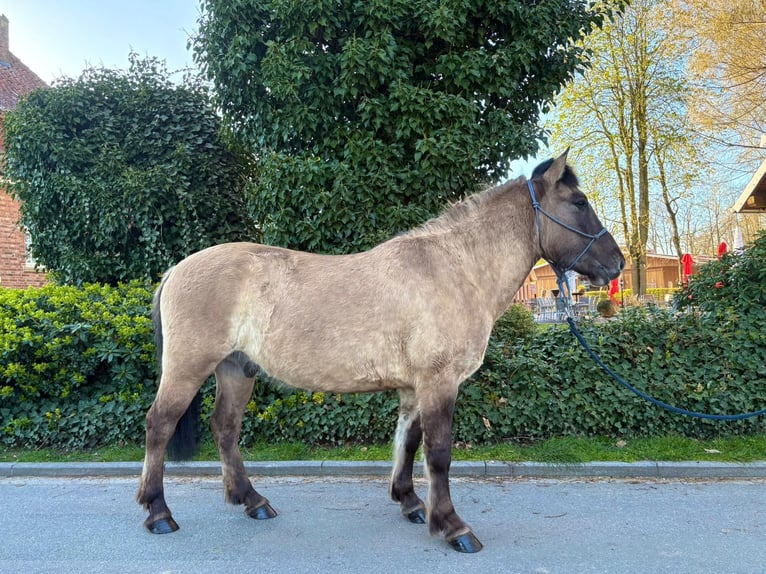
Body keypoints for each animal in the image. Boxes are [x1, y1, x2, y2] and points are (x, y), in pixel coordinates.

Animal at [136, 150, 625, 553]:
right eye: (579, 203)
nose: (616, 263)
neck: (454, 269)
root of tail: (177, 269)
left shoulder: (416, 387)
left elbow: (408, 442)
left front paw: (410, 503)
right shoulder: (439, 383)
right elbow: (439, 453)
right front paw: (452, 526)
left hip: (237, 370)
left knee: (225, 428)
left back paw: (252, 500)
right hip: (188, 368)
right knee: (160, 425)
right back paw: (159, 512)